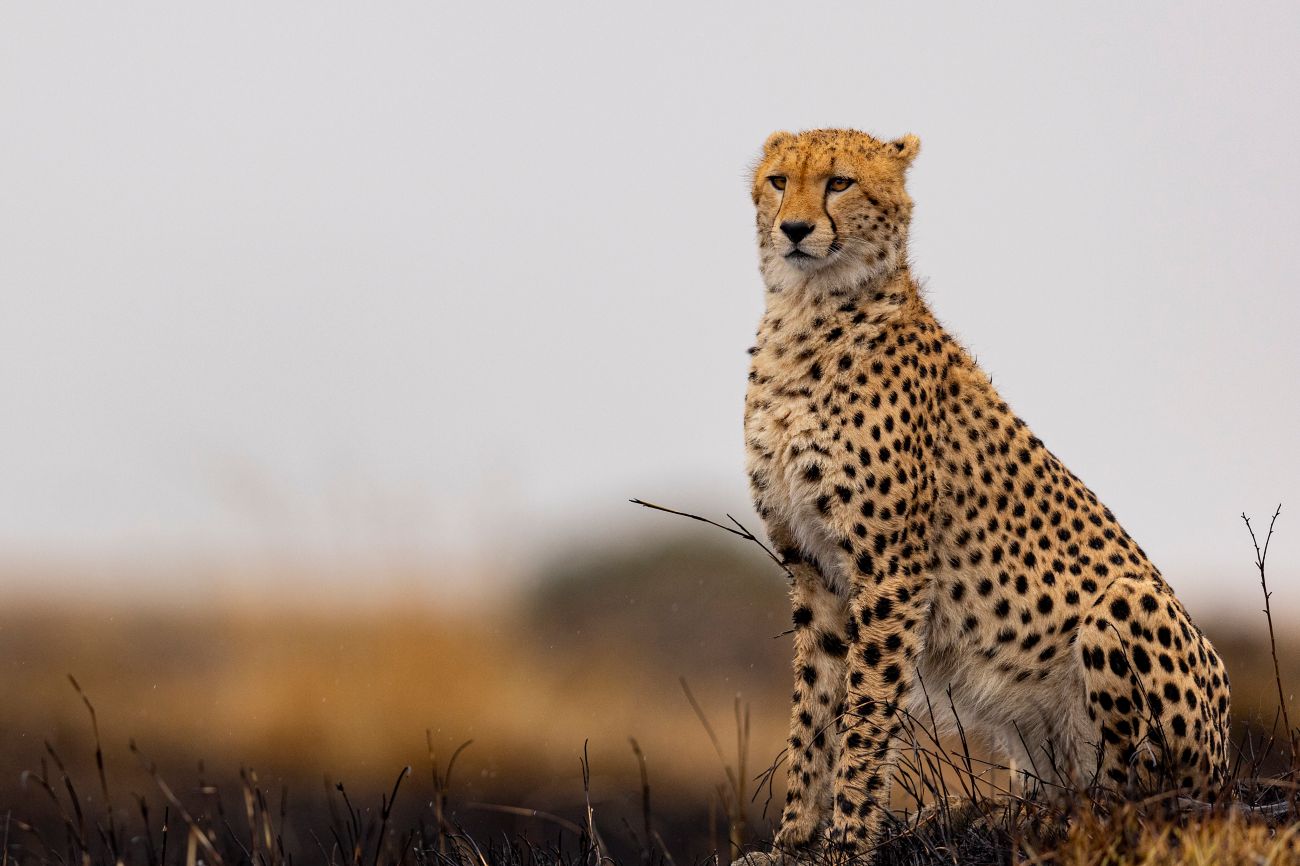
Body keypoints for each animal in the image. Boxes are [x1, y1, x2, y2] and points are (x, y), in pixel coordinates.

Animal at [740, 128, 1231, 862]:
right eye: (778, 181)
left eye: (839, 182)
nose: (795, 229)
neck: (807, 311)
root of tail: (1228, 767)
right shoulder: (814, 573)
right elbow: (815, 712)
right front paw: (794, 837)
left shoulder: (892, 574)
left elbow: (864, 715)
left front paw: (848, 840)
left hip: (1126, 608)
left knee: (1138, 796)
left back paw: (1070, 817)